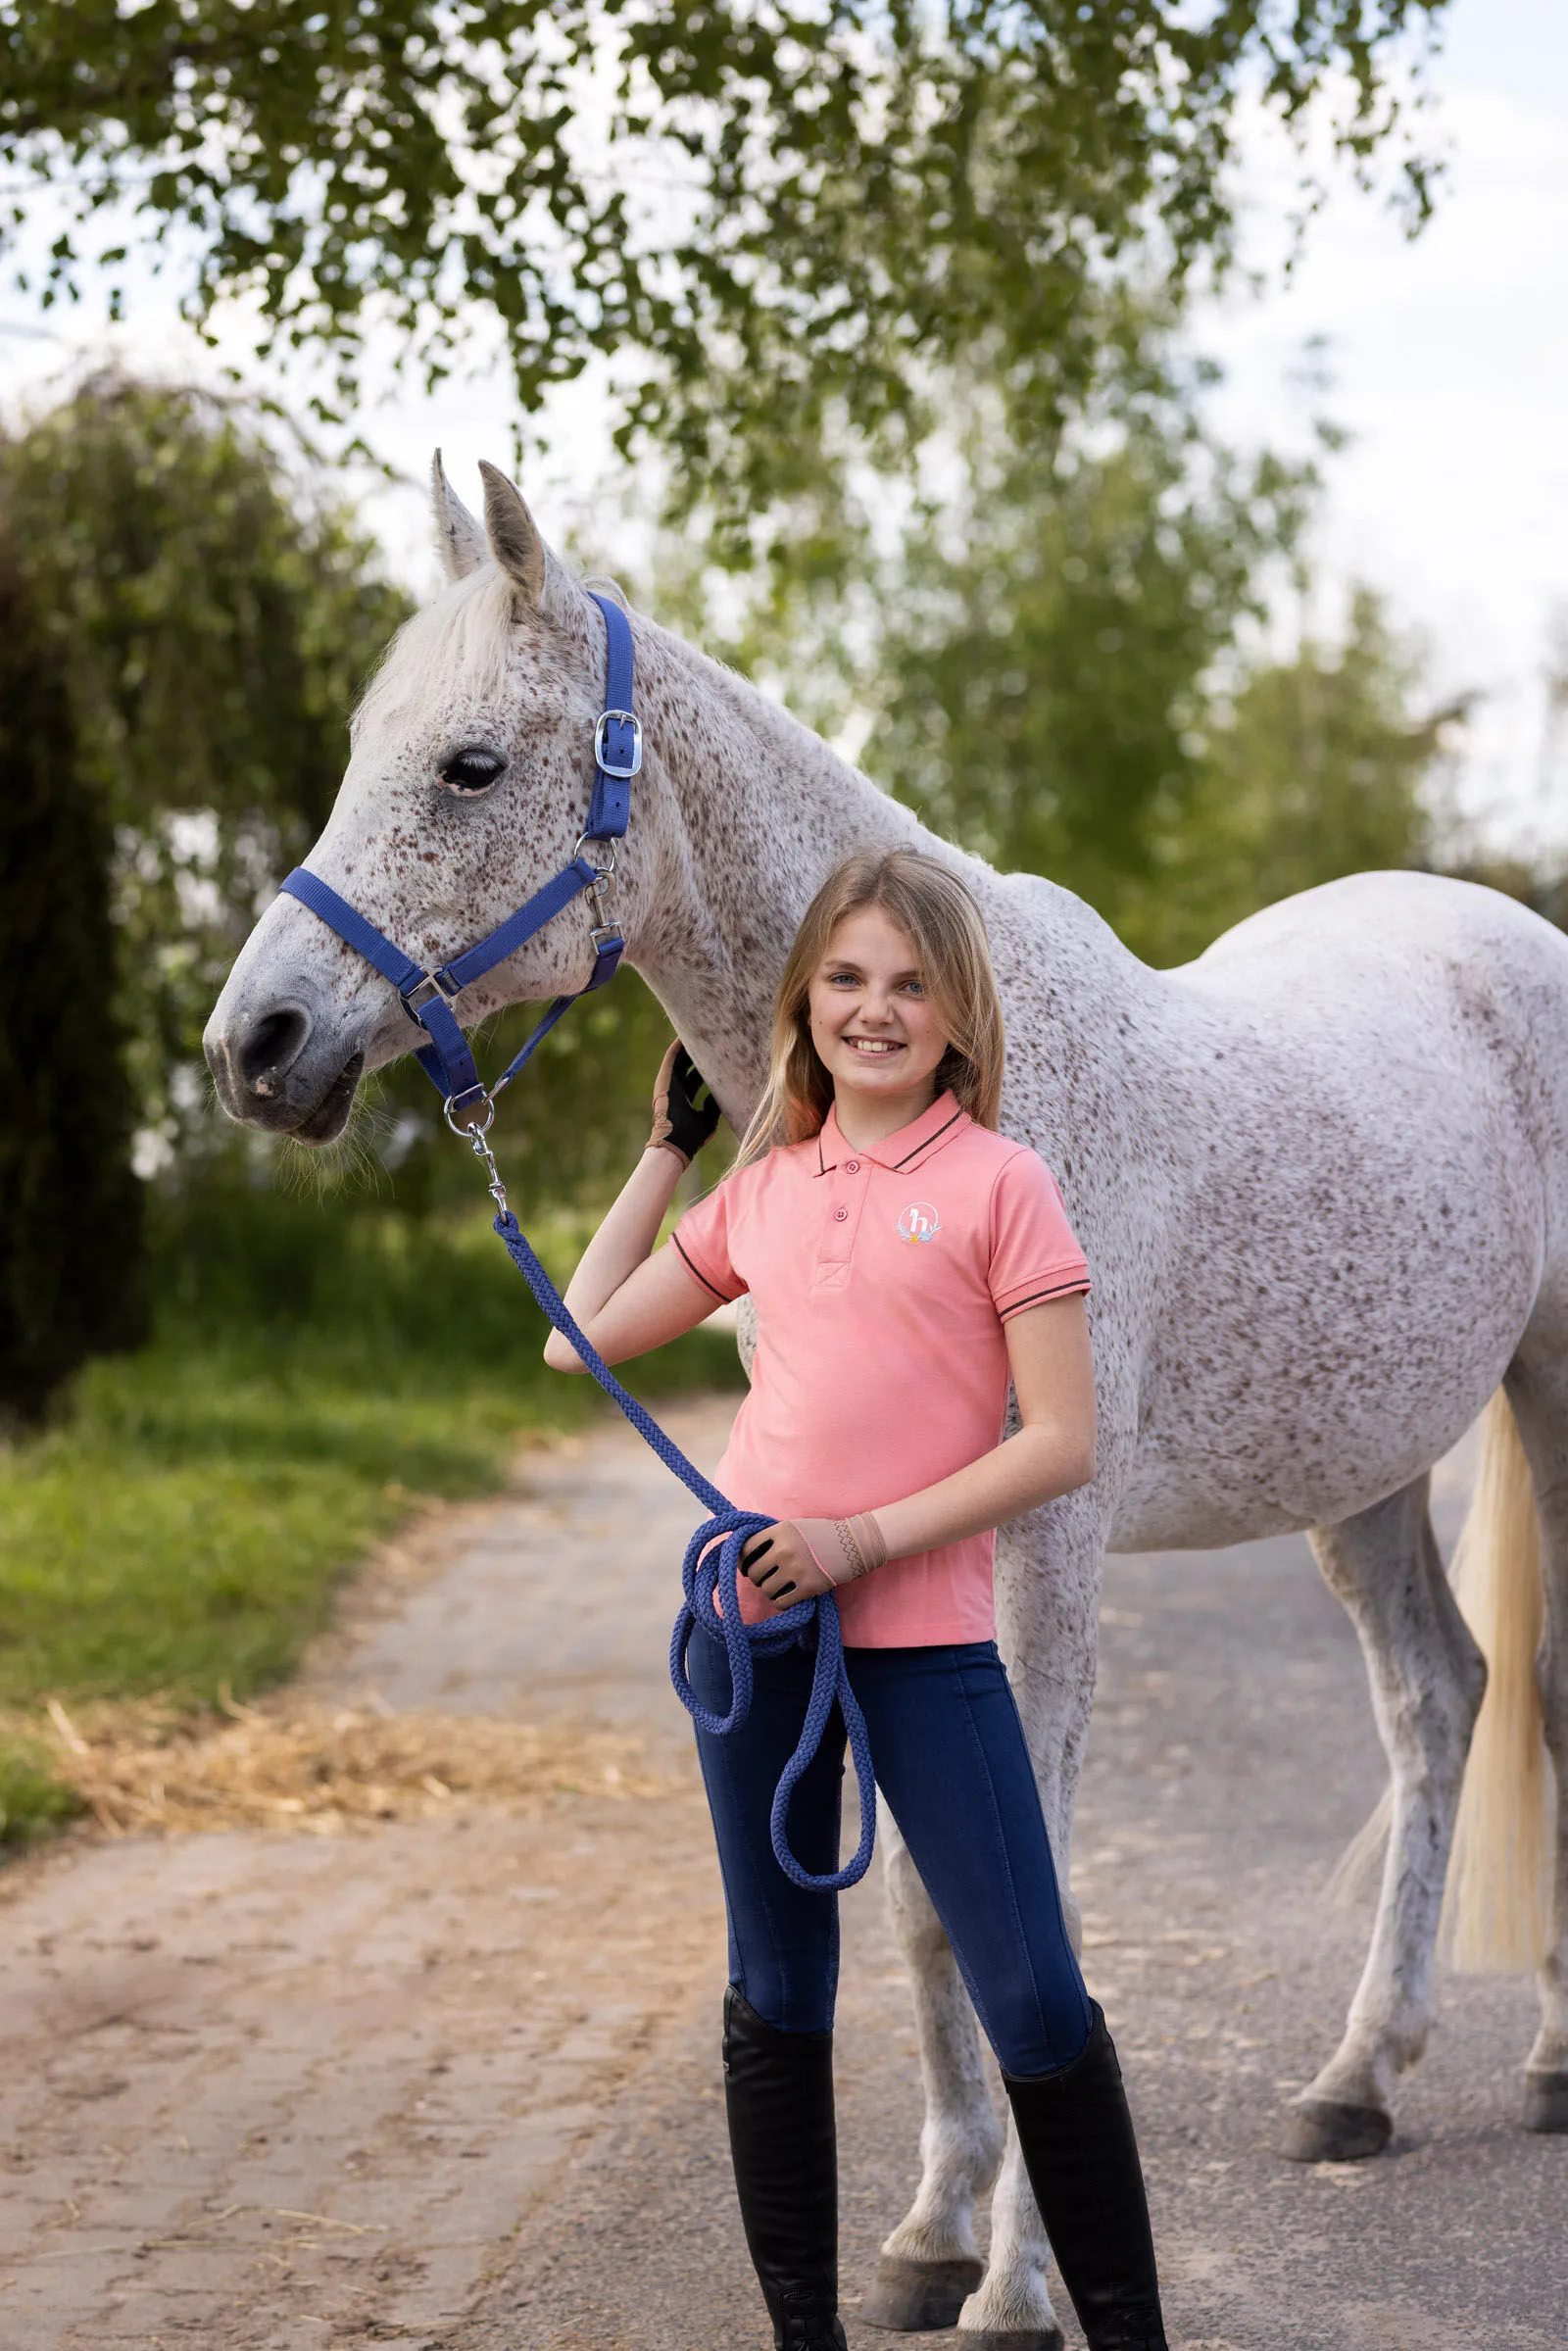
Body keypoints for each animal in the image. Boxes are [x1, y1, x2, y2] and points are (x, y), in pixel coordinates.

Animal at [208, 463, 1568, 2351]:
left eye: (470, 765)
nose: (255, 1045)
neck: (961, 1077)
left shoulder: (1044, 1545)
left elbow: (1024, 1887)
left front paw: (1015, 2286)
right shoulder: (858, 1547)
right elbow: (928, 1899)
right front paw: (933, 2230)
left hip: (1546, 1388)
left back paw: (1546, 2062)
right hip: (1358, 1462)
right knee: (1440, 1697)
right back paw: (1358, 2075)